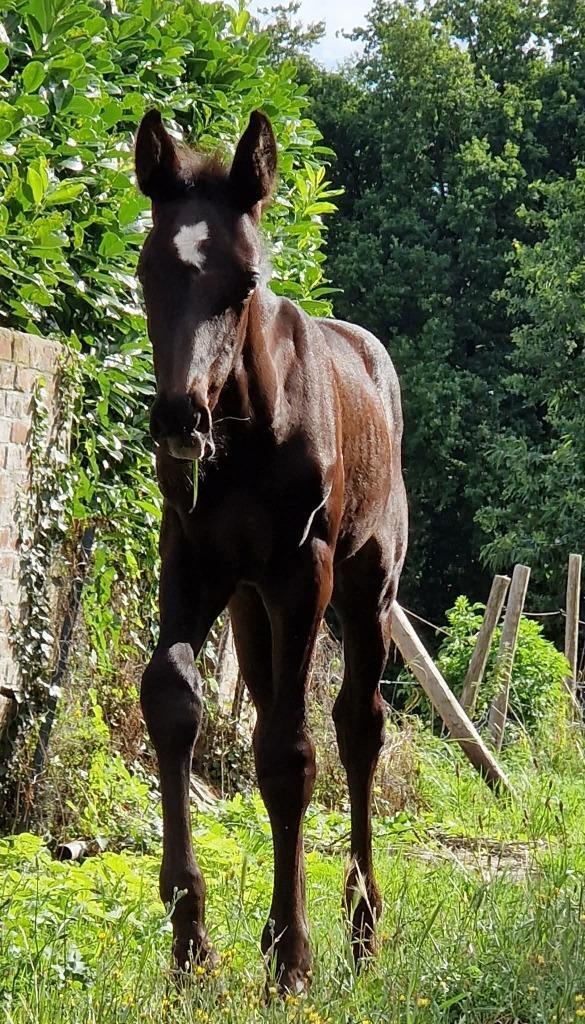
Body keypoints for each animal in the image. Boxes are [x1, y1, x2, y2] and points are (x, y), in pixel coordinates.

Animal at [135, 108, 408, 995]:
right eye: (147, 271)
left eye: (245, 282)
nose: (179, 419)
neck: (247, 430)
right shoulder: (192, 558)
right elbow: (172, 696)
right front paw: (190, 938)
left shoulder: (301, 572)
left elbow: (291, 753)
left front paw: (292, 955)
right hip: (253, 610)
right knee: (264, 710)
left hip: (366, 589)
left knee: (358, 725)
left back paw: (361, 927)